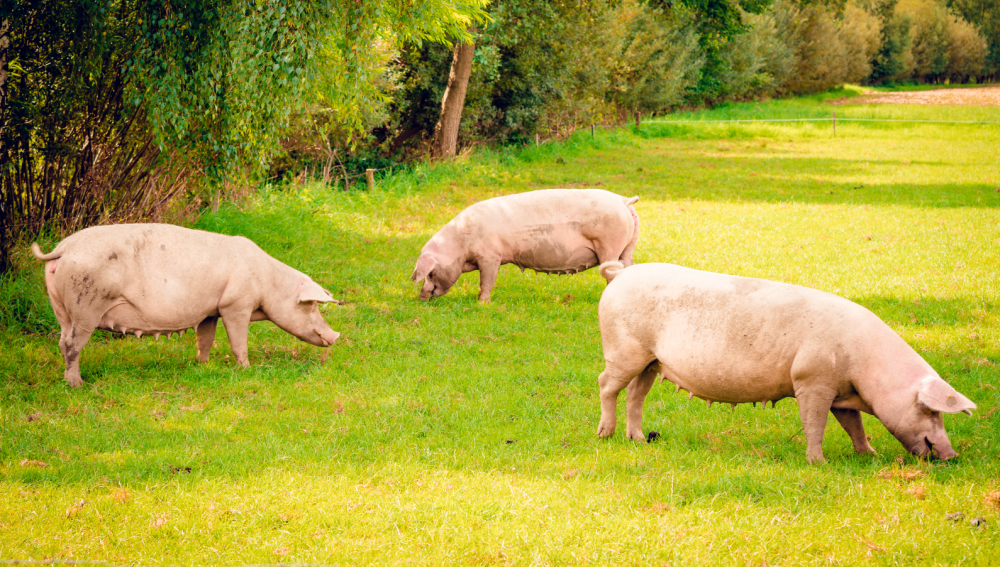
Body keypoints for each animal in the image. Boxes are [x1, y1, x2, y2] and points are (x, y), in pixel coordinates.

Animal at [29, 222, 342, 386]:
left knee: (62, 341)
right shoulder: (235, 305)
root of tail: (64, 248)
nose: (336, 336)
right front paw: (247, 369)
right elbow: (238, 341)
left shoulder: (210, 312)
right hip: (87, 304)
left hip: (61, 307)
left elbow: (205, 339)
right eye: (311, 306)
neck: (267, 282)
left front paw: (202, 366)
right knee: (73, 344)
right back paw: (78, 384)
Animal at [412, 189, 640, 302]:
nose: (421, 298)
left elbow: (487, 280)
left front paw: (481, 303)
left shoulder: (490, 256)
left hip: (609, 245)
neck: (461, 246)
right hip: (626, 249)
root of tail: (623, 200)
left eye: (430, 273)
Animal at [592, 260, 976, 462]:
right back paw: (605, 435)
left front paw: (869, 454)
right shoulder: (812, 380)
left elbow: (853, 425)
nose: (952, 456)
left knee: (636, 394)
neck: (866, 369)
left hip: (650, 361)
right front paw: (818, 462)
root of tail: (620, 274)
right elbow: (814, 423)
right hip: (624, 352)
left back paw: (638, 440)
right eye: (930, 411)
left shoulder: (841, 392)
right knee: (606, 385)